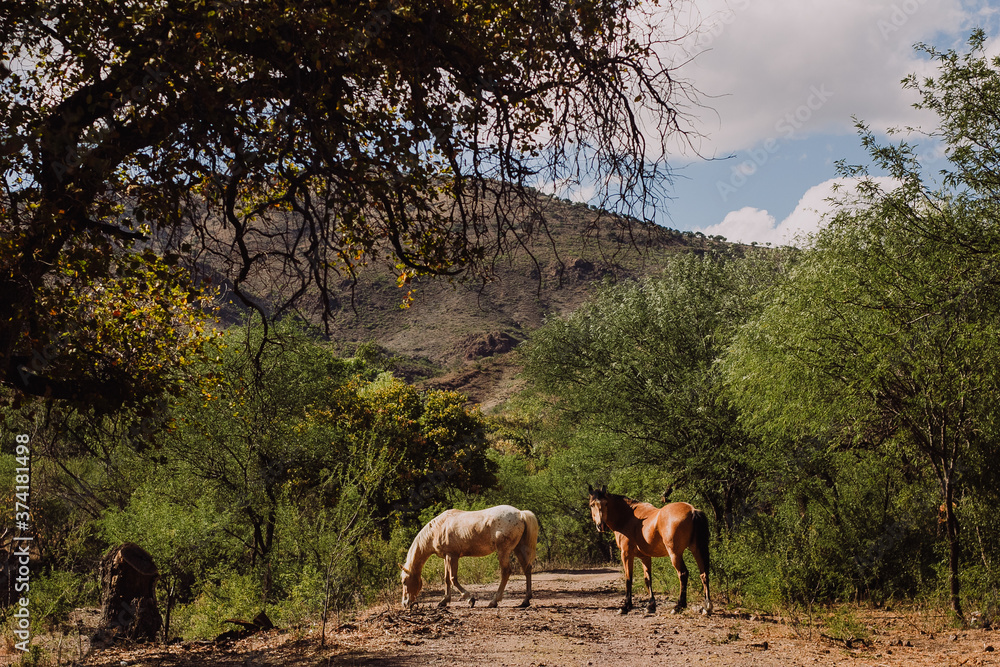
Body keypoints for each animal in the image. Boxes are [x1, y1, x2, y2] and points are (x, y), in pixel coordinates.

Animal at [399, 505, 539, 609]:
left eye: (404, 581)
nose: (405, 603)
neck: (438, 528)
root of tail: (520, 514)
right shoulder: (446, 557)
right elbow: (446, 579)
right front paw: (443, 601)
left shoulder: (452, 556)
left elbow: (453, 579)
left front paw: (470, 599)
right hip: (518, 548)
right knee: (527, 569)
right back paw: (525, 601)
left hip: (503, 551)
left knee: (506, 572)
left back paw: (493, 601)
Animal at [588, 484, 711, 615]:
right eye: (592, 505)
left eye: (605, 503)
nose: (601, 525)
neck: (628, 517)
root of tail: (693, 510)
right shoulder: (645, 557)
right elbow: (648, 579)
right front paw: (651, 605)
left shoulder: (626, 554)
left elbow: (628, 578)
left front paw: (626, 606)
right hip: (697, 550)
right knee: (704, 574)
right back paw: (707, 607)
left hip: (675, 554)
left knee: (683, 574)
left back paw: (678, 606)